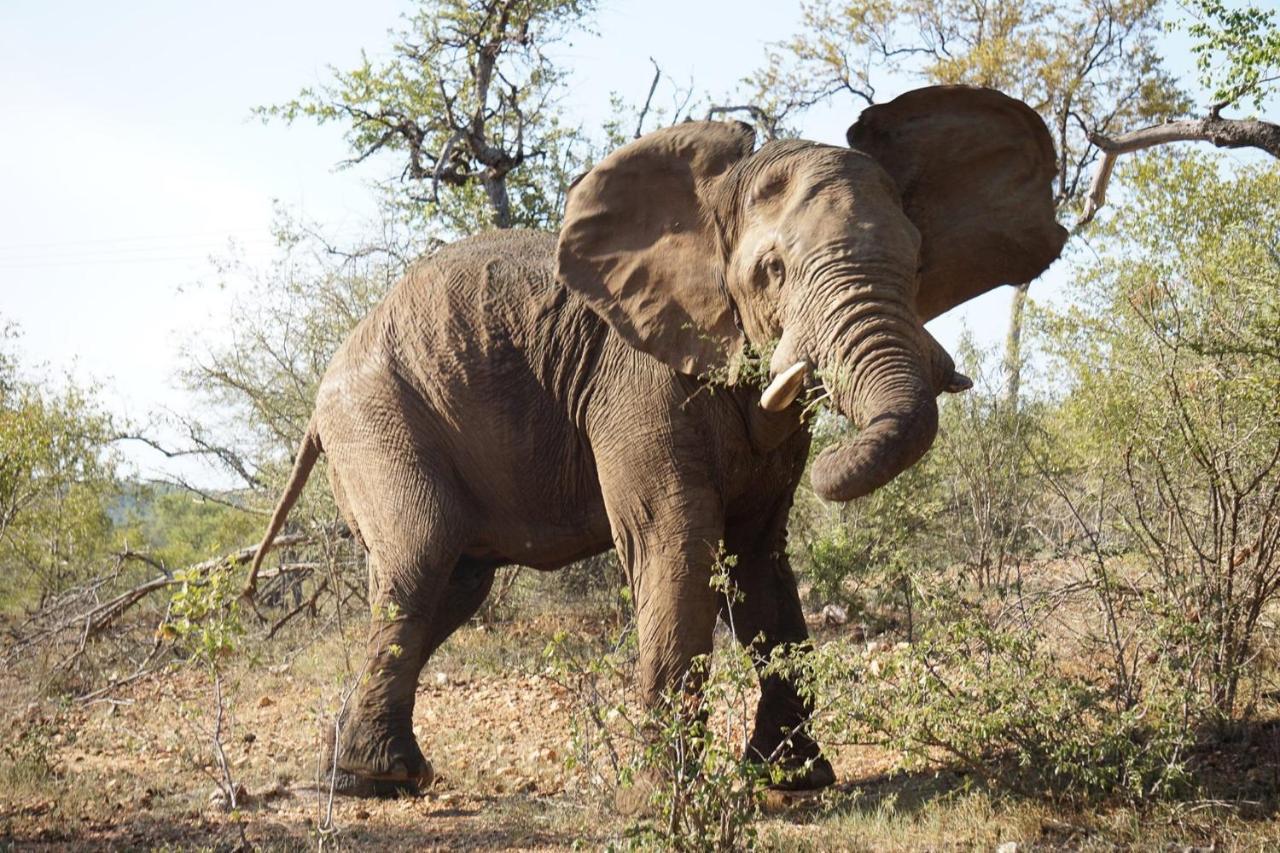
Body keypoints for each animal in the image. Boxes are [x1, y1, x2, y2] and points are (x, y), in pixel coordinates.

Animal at [241, 84, 1070, 799]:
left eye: (916, 256)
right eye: (772, 271)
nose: (838, 457)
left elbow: (759, 560)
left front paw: (792, 782)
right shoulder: (637, 381)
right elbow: (679, 539)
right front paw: (669, 799)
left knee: (453, 583)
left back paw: (354, 774)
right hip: (378, 417)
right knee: (422, 558)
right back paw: (381, 779)